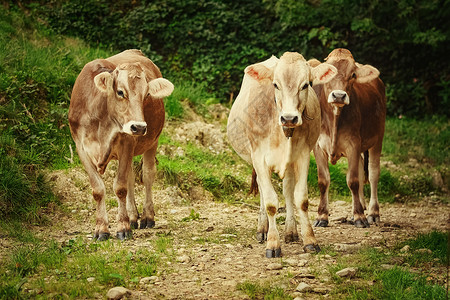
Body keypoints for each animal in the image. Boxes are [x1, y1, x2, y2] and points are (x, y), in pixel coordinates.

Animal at [68, 49, 174, 241]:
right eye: (120, 92)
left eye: (147, 95)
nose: (139, 127)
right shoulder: (80, 147)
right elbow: (98, 190)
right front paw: (101, 229)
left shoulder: (127, 143)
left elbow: (120, 187)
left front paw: (123, 227)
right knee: (131, 177)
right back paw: (132, 216)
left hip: (152, 141)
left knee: (147, 175)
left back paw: (147, 216)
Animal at [229, 52, 338, 256]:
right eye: (275, 84)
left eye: (306, 85)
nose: (289, 118)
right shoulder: (259, 158)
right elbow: (270, 202)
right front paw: (273, 243)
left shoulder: (303, 155)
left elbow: (301, 199)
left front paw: (310, 240)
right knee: (263, 192)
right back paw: (263, 229)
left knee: (288, 191)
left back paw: (291, 231)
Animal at [310, 48, 386, 227]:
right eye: (328, 73)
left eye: (353, 74)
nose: (338, 95)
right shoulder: (318, 146)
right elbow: (323, 181)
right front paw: (322, 216)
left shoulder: (353, 144)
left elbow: (353, 180)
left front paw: (360, 217)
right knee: (361, 167)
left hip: (378, 138)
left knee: (373, 173)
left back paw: (372, 212)